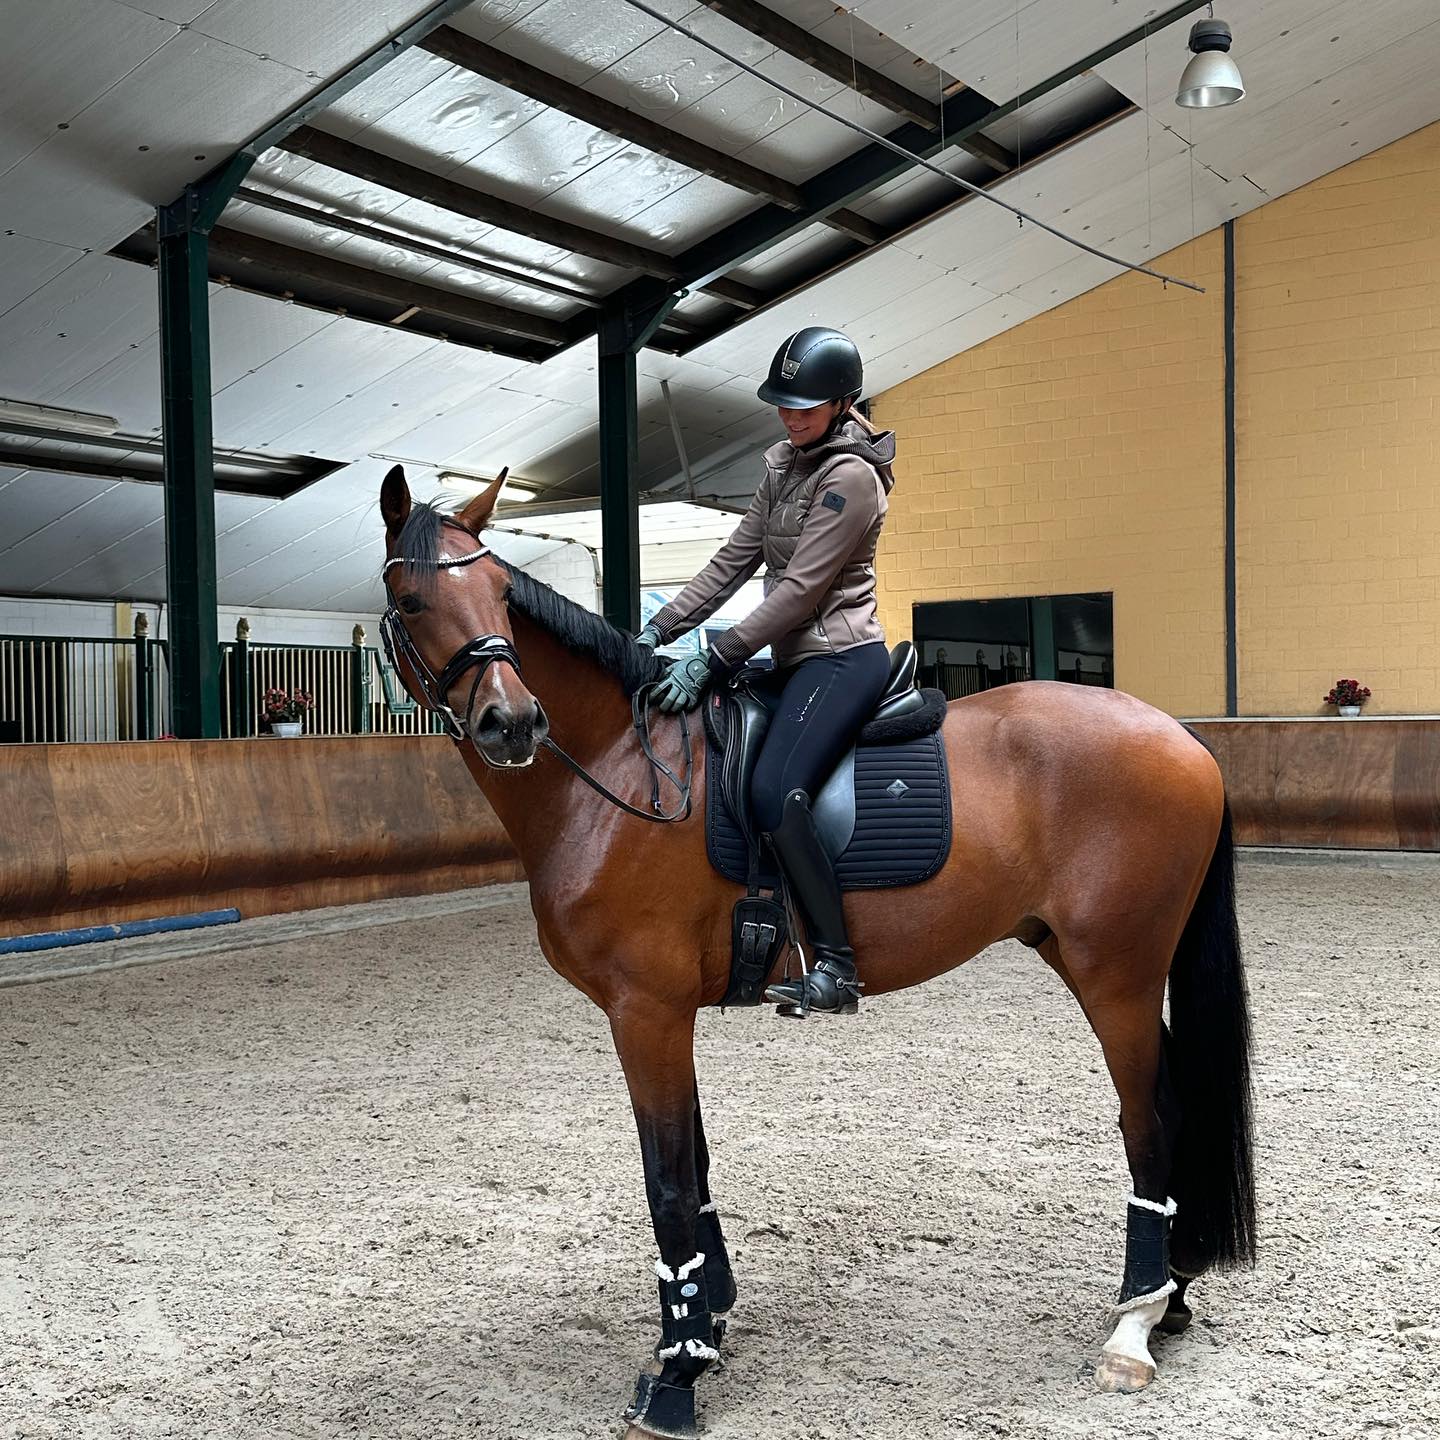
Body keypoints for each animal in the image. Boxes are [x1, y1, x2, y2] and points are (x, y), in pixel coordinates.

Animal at [376, 465, 1255, 1438]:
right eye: (413, 599)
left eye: (500, 591)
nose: (514, 723)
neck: (617, 768)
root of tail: (1178, 735)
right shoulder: (664, 1014)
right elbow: (696, 1165)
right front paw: (708, 1319)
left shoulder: (645, 1012)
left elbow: (667, 1184)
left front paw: (677, 1374)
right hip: (1083, 957)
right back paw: (1170, 1300)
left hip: (1118, 976)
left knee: (1151, 1119)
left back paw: (1135, 1324)